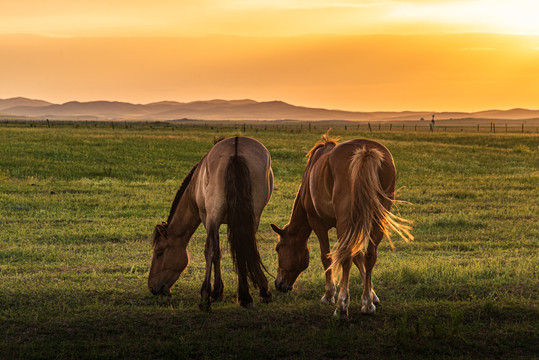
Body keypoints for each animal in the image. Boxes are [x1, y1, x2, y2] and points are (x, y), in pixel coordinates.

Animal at [148, 136, 274, 308]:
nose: (151, 287)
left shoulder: (207, 218)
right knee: (247, 246)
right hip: (253, 215)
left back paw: (206, 297)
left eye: (159, 252)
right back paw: (248, 296)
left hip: (214, 215)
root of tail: (235, 151)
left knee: (211, 248)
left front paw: (216, 292)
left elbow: (215, 252)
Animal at [270, 132, 414, 318]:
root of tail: (365, 152)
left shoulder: (318, 223)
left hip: (346, 221)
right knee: (370, 255)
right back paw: (367, 304)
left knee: (346, 257)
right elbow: (359, 256)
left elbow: (327, 257)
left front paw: (329, 295)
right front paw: (372, 295)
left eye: (278, 248)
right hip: (377, 219)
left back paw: (342, 306)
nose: (278, 284)